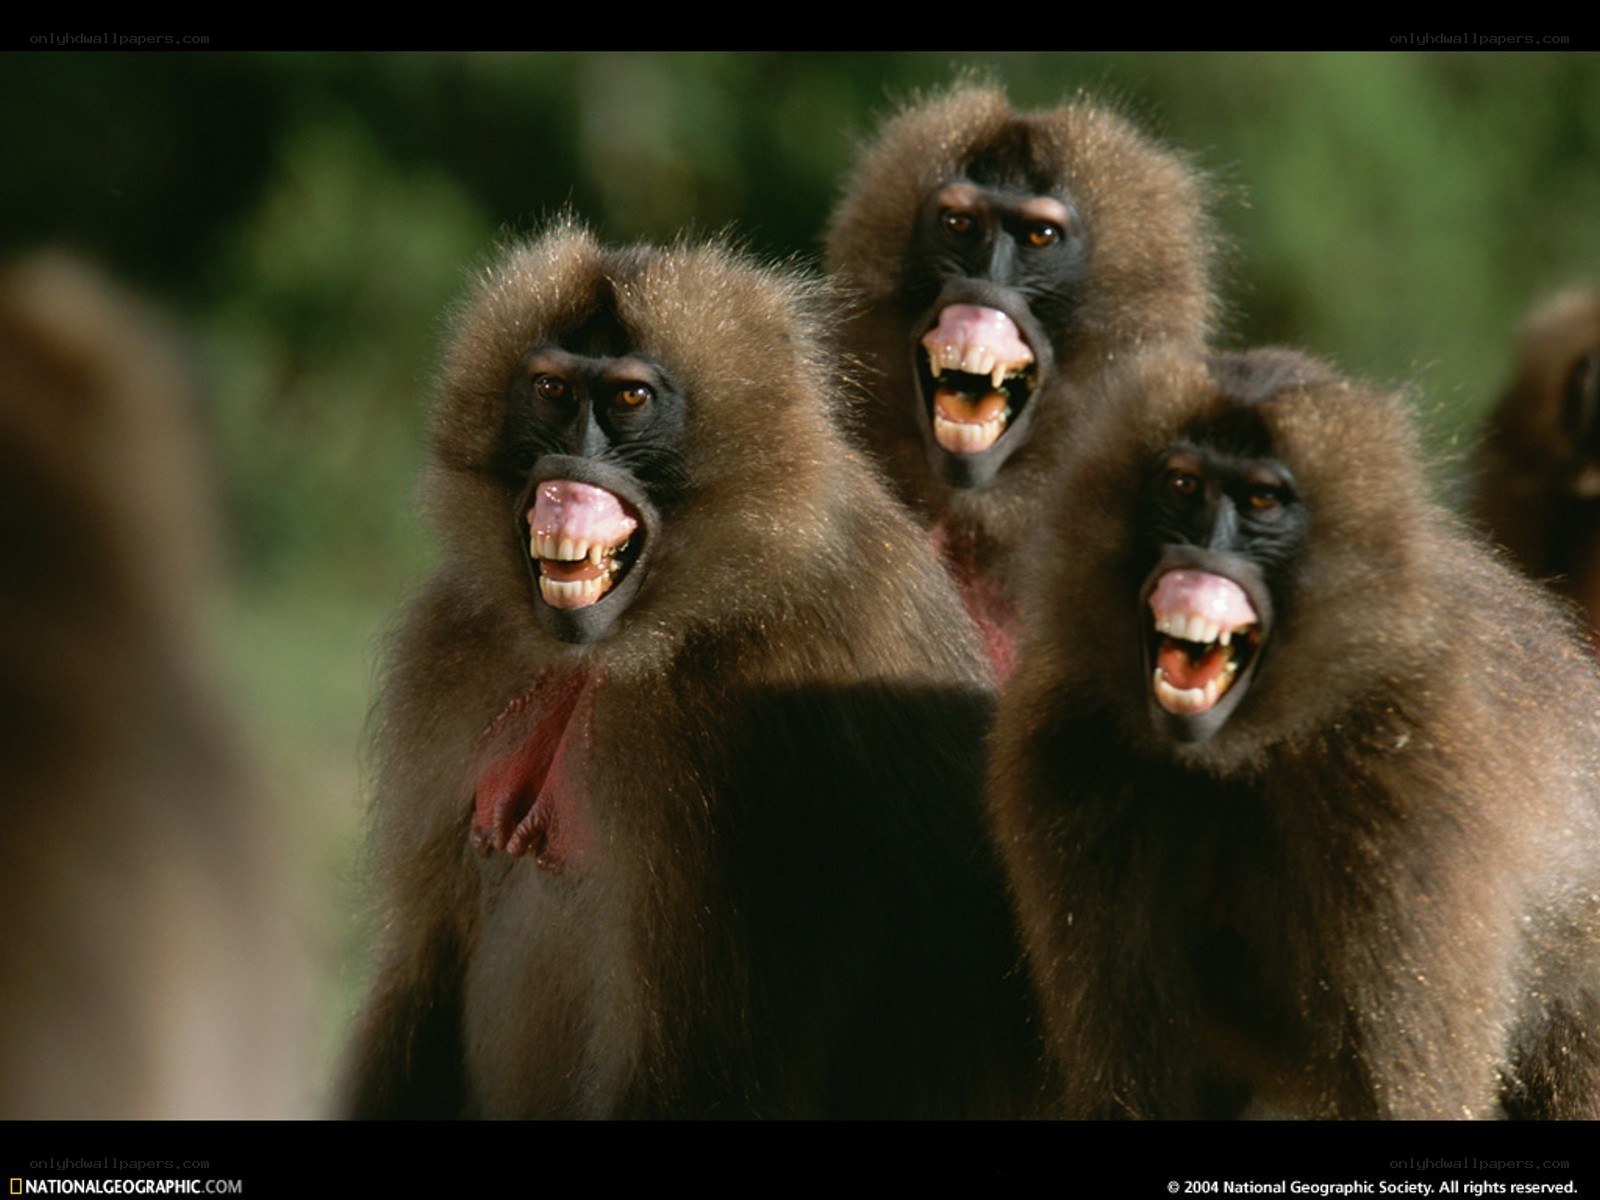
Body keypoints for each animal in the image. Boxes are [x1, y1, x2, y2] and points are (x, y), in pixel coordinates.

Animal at [339, 225, 1042, 1119]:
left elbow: (698, 1068)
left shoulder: (758, 733)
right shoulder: (457, 645)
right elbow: (424, 959)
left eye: (631, 401)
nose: (567, 475)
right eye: (551, 391)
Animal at [988, 346, 1600, 1119]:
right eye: (1182, 485)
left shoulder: (1413, 787)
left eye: (1260, 502)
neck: (1247, 753)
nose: (1201, 558)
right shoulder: (1071, 744)